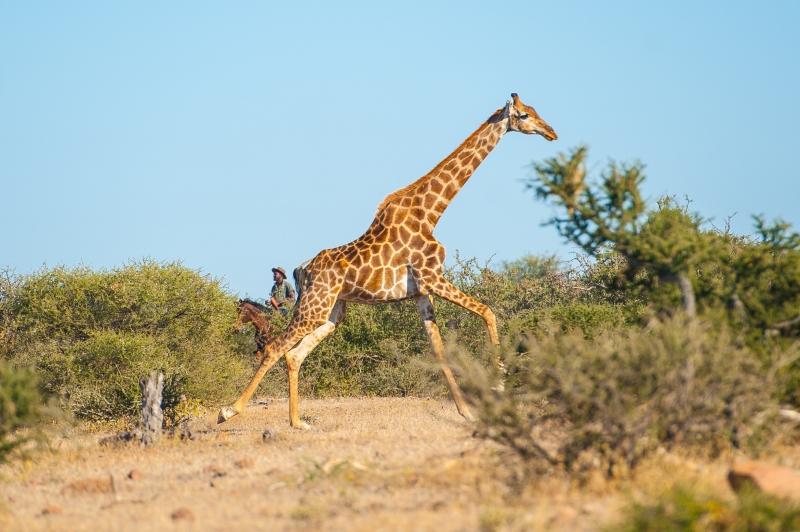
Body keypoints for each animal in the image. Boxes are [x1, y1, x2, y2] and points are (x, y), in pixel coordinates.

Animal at [219, 94, 556, 428]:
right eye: (524, 115)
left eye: (535, 110)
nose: (551, 132)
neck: (430, 213)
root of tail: (303, 269)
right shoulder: (433, 277)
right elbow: (488, 311)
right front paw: (499, 385)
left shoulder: (422, 292)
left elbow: (439, 351)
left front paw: (468, 411)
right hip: (314, 307)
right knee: (275, 347)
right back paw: (228, 411)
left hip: (332, 311)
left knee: (295, 354)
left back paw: (297, 422)